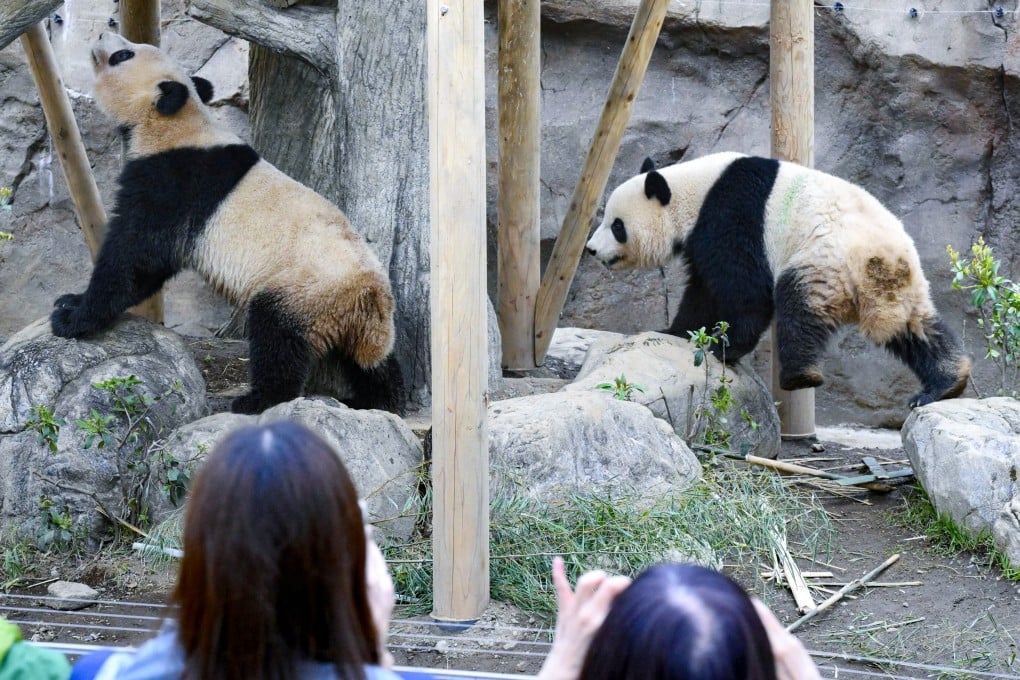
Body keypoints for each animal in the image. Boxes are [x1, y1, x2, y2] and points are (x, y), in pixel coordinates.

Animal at [50, 32, 403, 415]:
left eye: (123, 55)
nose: (104, 32)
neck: (177, 124)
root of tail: (369, 294)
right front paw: (69, 300)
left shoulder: (174, 181)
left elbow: (136, 258)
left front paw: (74, 317)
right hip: (362, 320)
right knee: (372, 362)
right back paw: (375, 399)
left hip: (305, 290)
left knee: (277, 335)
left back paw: (258, 399)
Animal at [585, 152, 971, 408]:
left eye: (616, 225)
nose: (590, 249)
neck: (694, 190)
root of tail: (882, 258)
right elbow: (702, 290)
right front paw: (676, 331)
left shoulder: (732, 218)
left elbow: (743, 289)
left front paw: (725, 347)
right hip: (899, 287)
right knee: (914, 330)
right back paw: (946, 383)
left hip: (823, 262)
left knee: (798, 308)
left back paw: (800, 375)